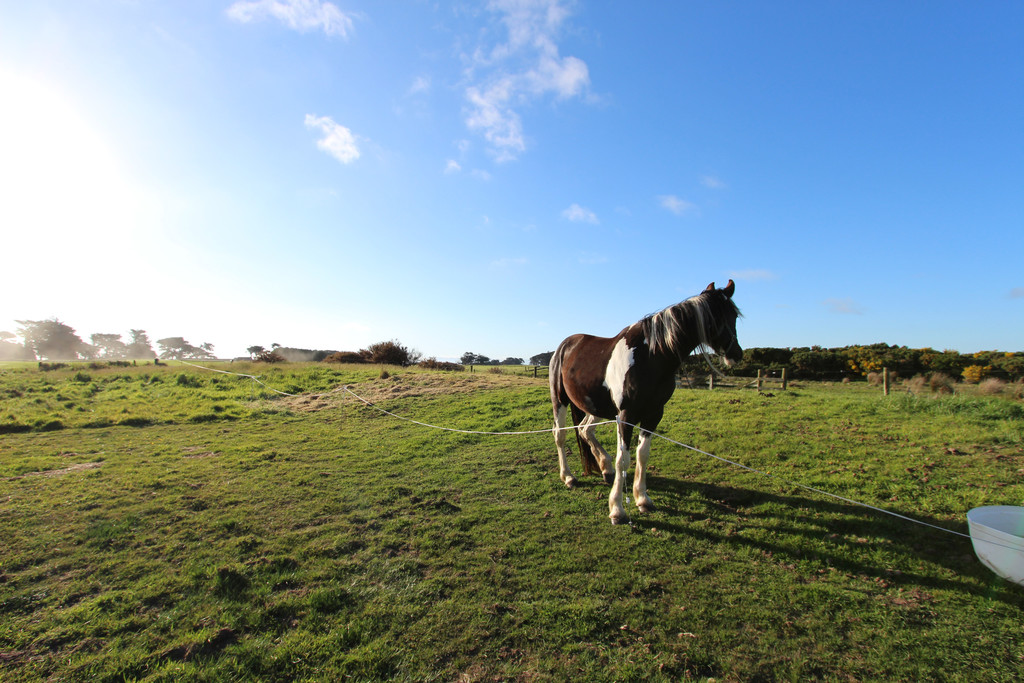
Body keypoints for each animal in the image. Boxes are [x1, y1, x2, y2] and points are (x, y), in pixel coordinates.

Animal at [548, 280, 741, 528]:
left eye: (733, 315)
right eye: (714, 317)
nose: (736, 354)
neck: (651, 357)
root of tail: (565, 346)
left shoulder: (653, 414)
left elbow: (643, 454)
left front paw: (642, 499)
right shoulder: (626, 416)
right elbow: (624, 459)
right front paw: (617, 510)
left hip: (595, 406)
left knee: (585, 429)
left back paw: (605, 468)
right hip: (560, 400)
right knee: (560, 435)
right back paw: (569, 476)